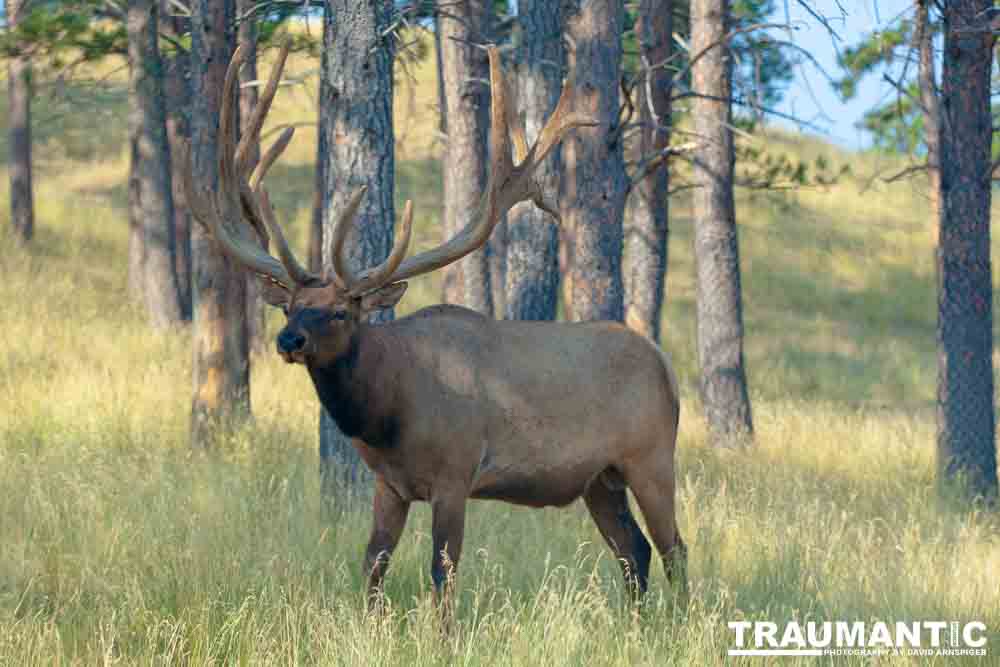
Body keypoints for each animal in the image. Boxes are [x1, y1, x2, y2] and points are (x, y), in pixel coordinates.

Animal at [184, 40, 688, 604]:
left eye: (340, 311)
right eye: (290, 306)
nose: (288, 339)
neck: (388, 414)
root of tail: (666, 365)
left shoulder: (455, 472)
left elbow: (443, 571)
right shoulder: (389, 484)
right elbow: (372, 563)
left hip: (651, 455)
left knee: (674, 548)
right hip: (598, 478)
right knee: (634, 551)